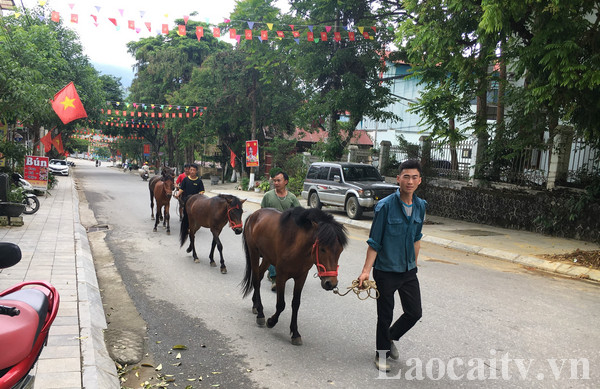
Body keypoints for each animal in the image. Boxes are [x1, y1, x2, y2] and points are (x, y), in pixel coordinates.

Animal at [241, 208, 350, 344]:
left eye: (340, 250)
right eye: (322, 249)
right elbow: (281, 304)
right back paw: (260, 313)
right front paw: (271, 321)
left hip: (266, 257)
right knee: (256, 280)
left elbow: (296, 304)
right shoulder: (281, 275)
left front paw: (295, 333)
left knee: (259, 276)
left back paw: (255, 305)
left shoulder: (301, 277)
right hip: (254, 253)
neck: (297, 245)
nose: (331, 283)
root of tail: (254, 215)